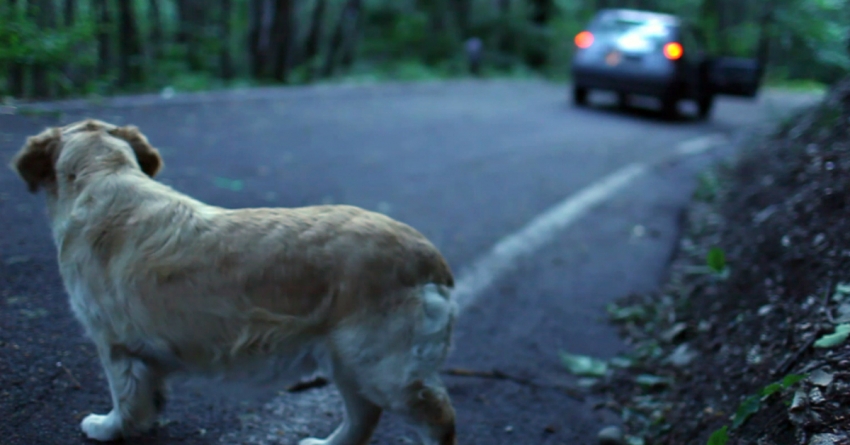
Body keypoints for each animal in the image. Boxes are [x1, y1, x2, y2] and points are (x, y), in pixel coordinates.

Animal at [8, 119, 458, 444]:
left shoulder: (113, 342)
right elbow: (149, 396)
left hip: (382, 367)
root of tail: (431, 258)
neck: (104, 172)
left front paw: (109, 427)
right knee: (364, 417)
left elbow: (124, 397)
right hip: (345, 359)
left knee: (437, 417)